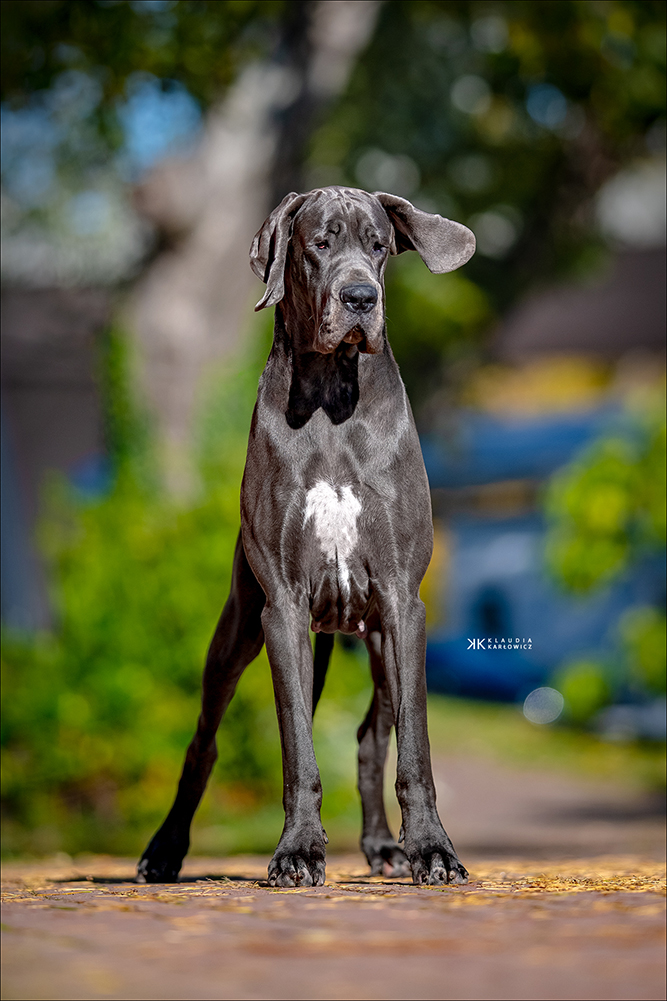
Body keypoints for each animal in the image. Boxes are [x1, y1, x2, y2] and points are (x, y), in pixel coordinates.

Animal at [138, 186, 475, 887]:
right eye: (319, 243)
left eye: (379, 245)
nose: (361, 298)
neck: (329, 402)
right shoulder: (284, 608)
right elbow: (297, 745)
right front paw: (297, 850)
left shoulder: (402, 603)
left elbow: (414, 747)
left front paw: (432, 849)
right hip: (239, 633)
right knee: (204, 740)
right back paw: (165, 848)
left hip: (375, 639)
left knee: (373, 737)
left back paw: (383, 846)